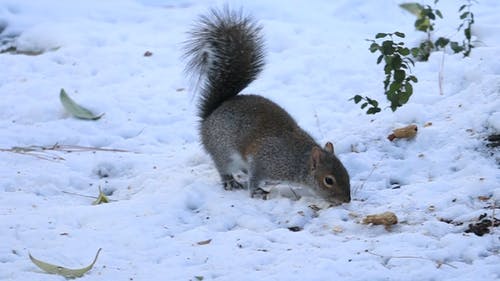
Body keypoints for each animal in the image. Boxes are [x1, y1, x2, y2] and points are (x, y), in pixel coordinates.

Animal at [184, 7, 352, 203]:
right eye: (328, 180)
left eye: (346, 172)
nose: (347, 200)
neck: (297, 161)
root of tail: (210, 115)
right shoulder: (264, 162)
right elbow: (255, 179)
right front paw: (255, 191)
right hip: (223, 151)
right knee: (223, 168)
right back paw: (230, 182)